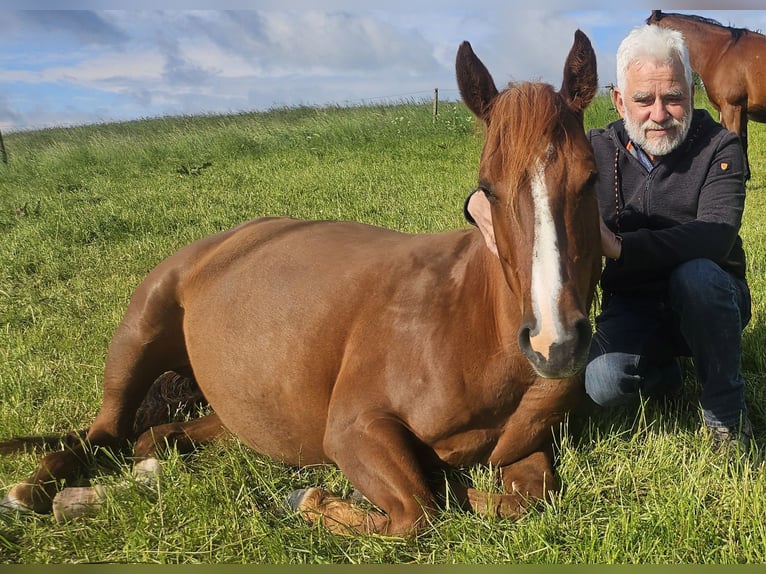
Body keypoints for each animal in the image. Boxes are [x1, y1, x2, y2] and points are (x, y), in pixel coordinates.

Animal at [0, 30, 601, 536]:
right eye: (487, 188)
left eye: (590, 179)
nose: (553, 342)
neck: (467, 323)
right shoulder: (355, 430)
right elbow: (417, 513)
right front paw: (312, 499)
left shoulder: (519, 450)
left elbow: (524, 498)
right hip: (138, 336)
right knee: (99, 437)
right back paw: (37, 492)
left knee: (157, 439)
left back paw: (138, 477)